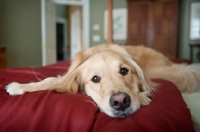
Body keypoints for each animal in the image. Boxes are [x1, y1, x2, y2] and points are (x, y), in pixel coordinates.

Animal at [5, 44, 199, 117]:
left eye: (124, 71)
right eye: (95, 79)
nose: (120, 101)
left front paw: (142, 95)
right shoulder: (67, 76)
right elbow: (50, 80)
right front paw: (19, 86)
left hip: (160, 70)